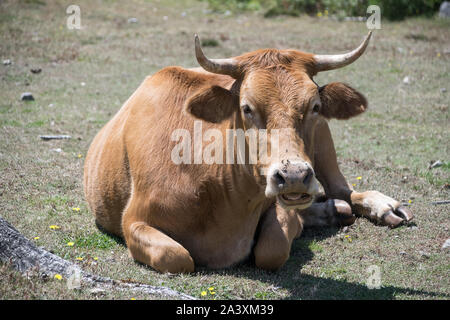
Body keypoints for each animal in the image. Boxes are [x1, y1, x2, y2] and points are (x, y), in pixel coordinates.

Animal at [83, 31, 412, 272]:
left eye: (315, 106)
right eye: (246, 107)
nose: (294, 176)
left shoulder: (279, 201)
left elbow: (272, 250)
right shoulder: (133, 220)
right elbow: (176, 257)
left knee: (345, 191)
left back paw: (381, 207)